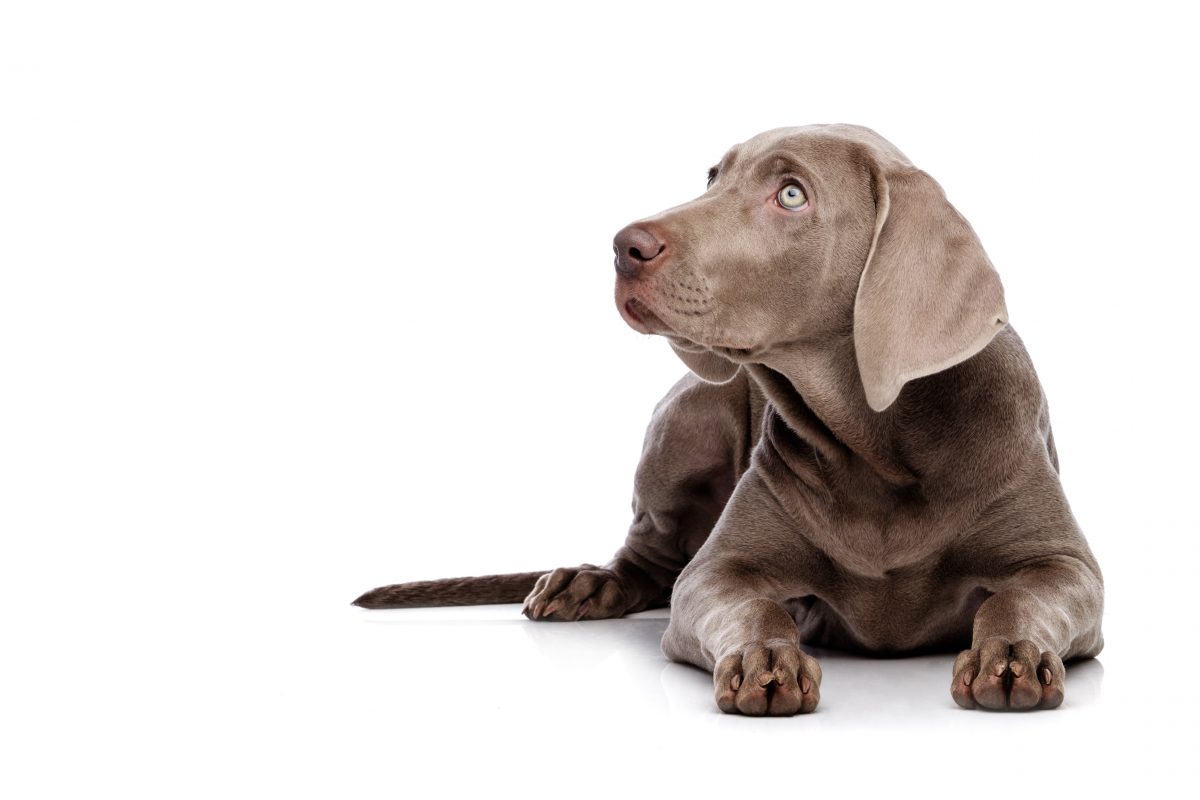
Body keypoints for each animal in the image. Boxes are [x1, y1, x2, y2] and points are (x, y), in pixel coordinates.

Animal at [355, 126, 1104, 719]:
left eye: (792, 195)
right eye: (713, 177)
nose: (624, 245)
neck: (877, 447)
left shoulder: (1068, 567)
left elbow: (1019, 598)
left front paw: (1012, 651)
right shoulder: (716, 574)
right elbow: (746, 602)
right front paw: (765, 659)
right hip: (692, 419)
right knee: (652, 558)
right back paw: (587, 582)